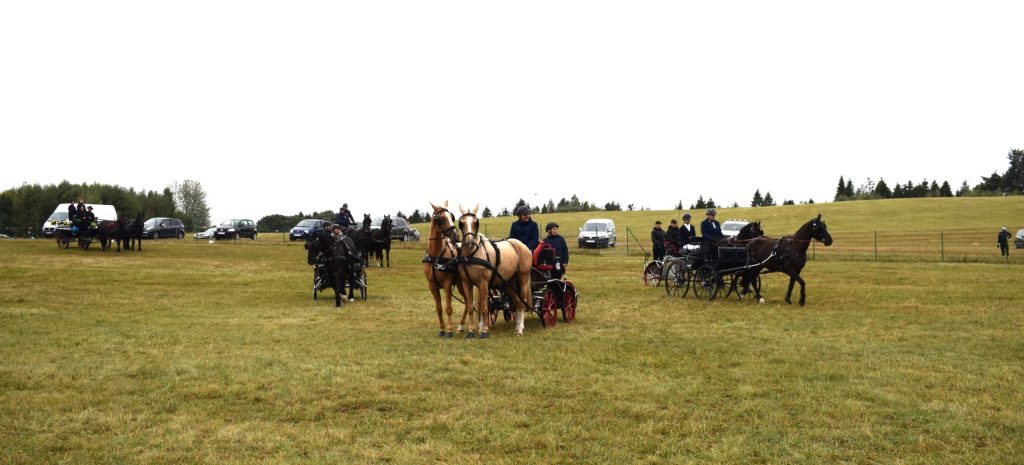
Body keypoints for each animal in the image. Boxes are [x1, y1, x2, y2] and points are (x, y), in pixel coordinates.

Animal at [421, 203, 468, 337]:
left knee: (470, 302)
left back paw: (462, 325)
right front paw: (442, 329)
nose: (455, 235)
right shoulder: (432, 285)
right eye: (441, 218)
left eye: (451, 217)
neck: (436, 257)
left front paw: (450, 330)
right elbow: (439, 308)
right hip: (459, 284)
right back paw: (461, 326)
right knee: (468, 302)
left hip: (463, 284)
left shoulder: (447, 284)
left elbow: (448, 308)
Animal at [458, 203, 532, 337]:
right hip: (509, 283)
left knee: (522, 302)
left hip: (523, 278)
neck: (472, 255)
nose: (470, 242)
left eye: (476, 222)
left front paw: (484, 331)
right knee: (517, 302)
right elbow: (471, 307)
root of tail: (522, 245)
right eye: (461, 222)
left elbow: (483, 307)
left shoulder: (483, 283)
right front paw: (471, 331)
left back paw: (520, 328)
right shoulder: (467, 283)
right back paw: (517, 327)